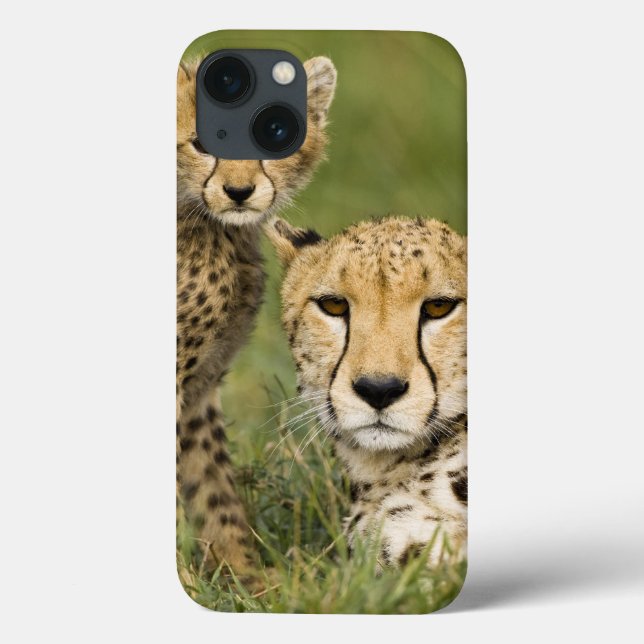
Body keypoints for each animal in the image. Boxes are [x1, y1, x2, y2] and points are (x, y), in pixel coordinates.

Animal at [176, 55, 337, 577]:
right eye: (203, 142)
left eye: (275, 135)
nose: (239, 191)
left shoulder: (199, 385)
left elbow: (211, 482)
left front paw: (242, 572)